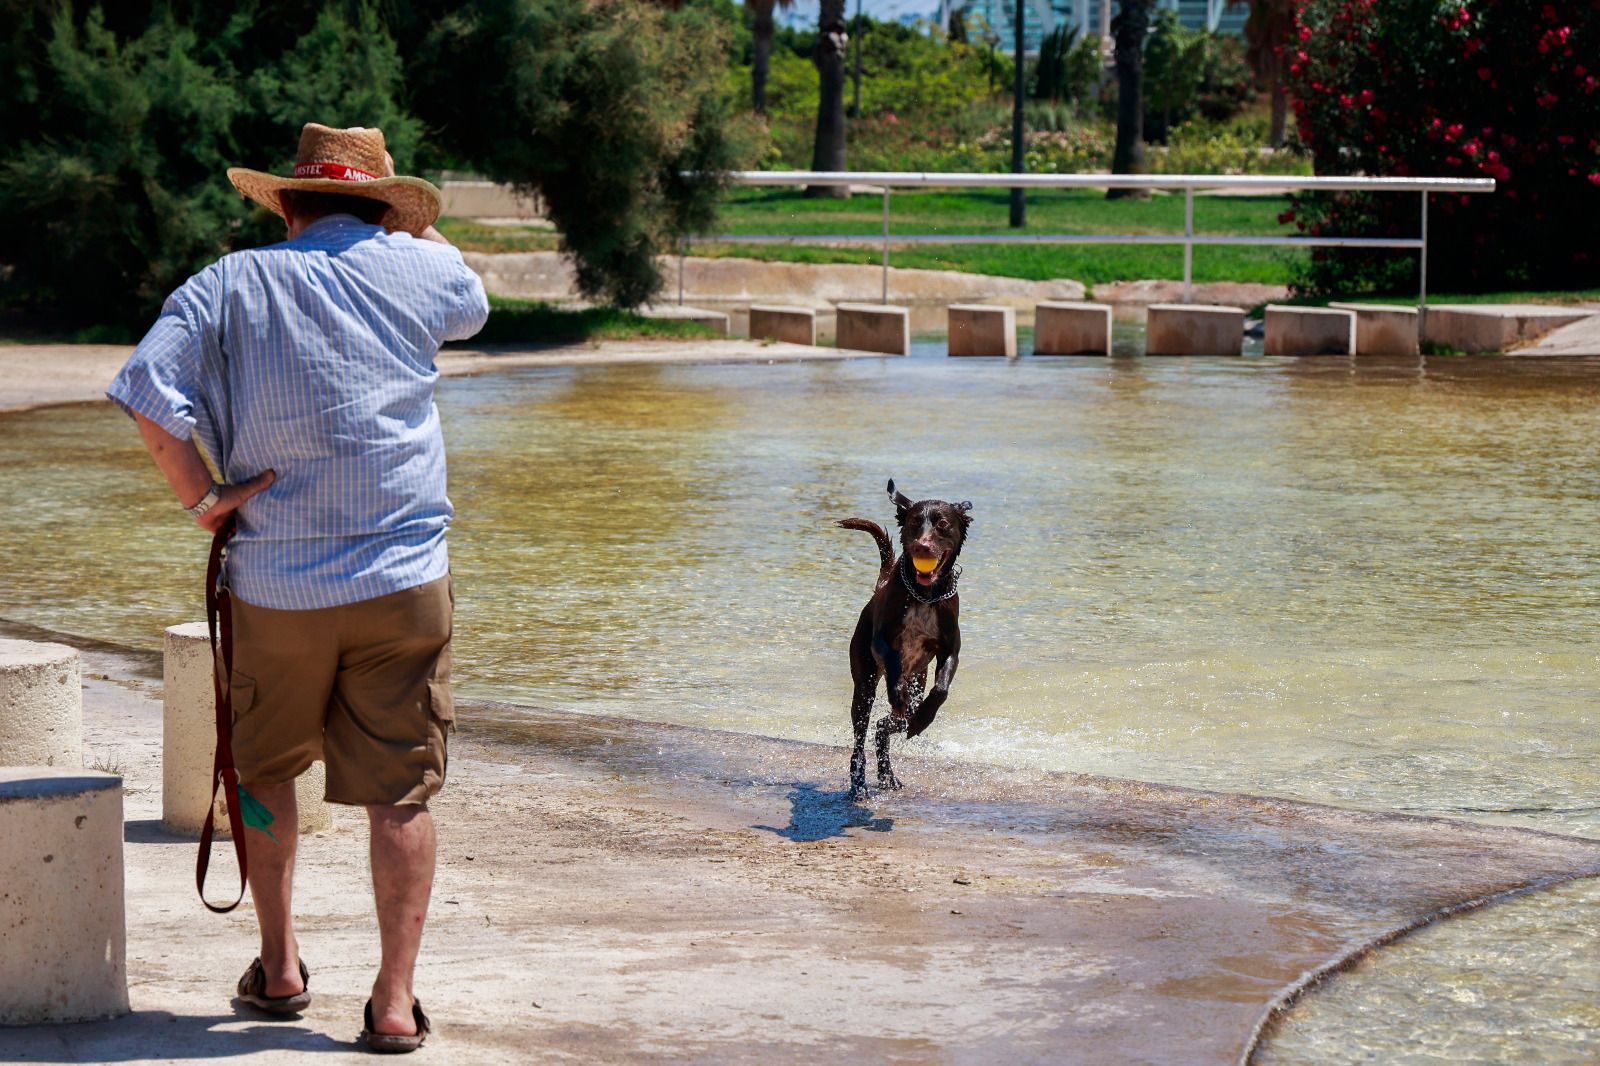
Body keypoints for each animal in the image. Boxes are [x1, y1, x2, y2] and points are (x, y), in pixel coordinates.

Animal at [844, 476, 966, 793]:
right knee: (862, 734)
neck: (924, 595)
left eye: (942, 524)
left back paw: (888, 774)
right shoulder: (881, 643)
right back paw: (858, 784)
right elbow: (893, 663)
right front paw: (897, 692)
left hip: (917, 680)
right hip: (864, 683)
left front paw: (923, 720)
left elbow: (941, 689)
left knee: (883, 727)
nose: (922, 546)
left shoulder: (950, 651)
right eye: (914, 522)